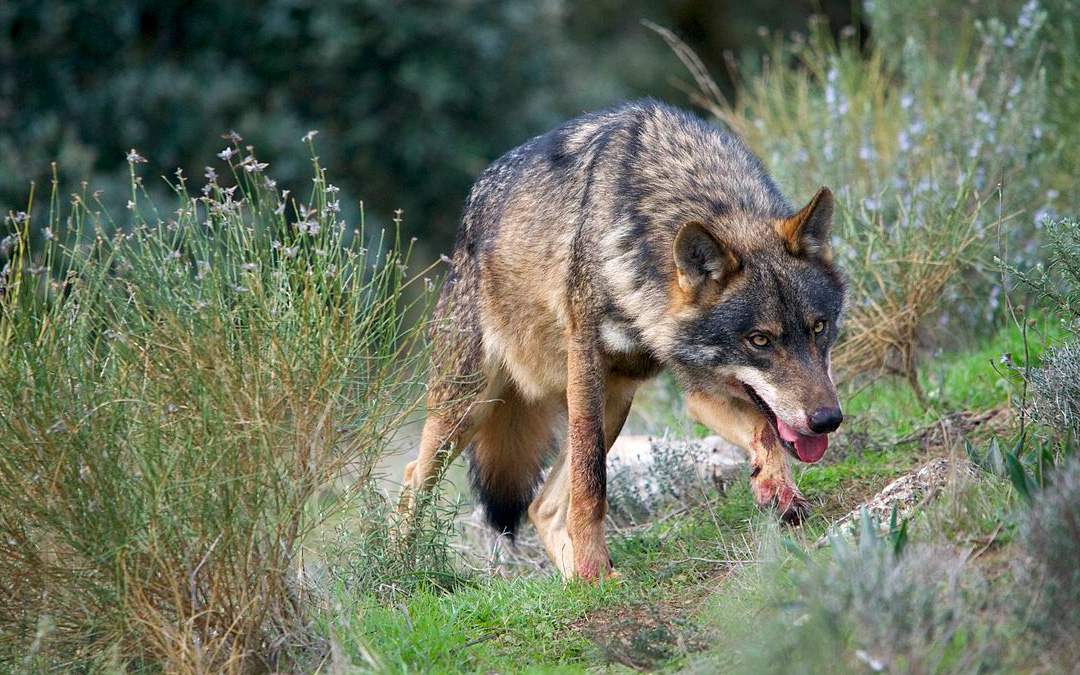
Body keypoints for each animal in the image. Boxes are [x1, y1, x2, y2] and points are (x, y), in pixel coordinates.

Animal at [400, 99, 846, 580]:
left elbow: (765, 430)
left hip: (614, 402)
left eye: (819, 328)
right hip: (469, 408)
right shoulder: (586, 362)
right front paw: (594, 564)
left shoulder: (700, 389)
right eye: (760, 340)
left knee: (541, 507)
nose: (828, 420)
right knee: (412, 479)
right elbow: (591, 485)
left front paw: (777, 489)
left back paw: (579, 582)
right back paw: (401, 569)